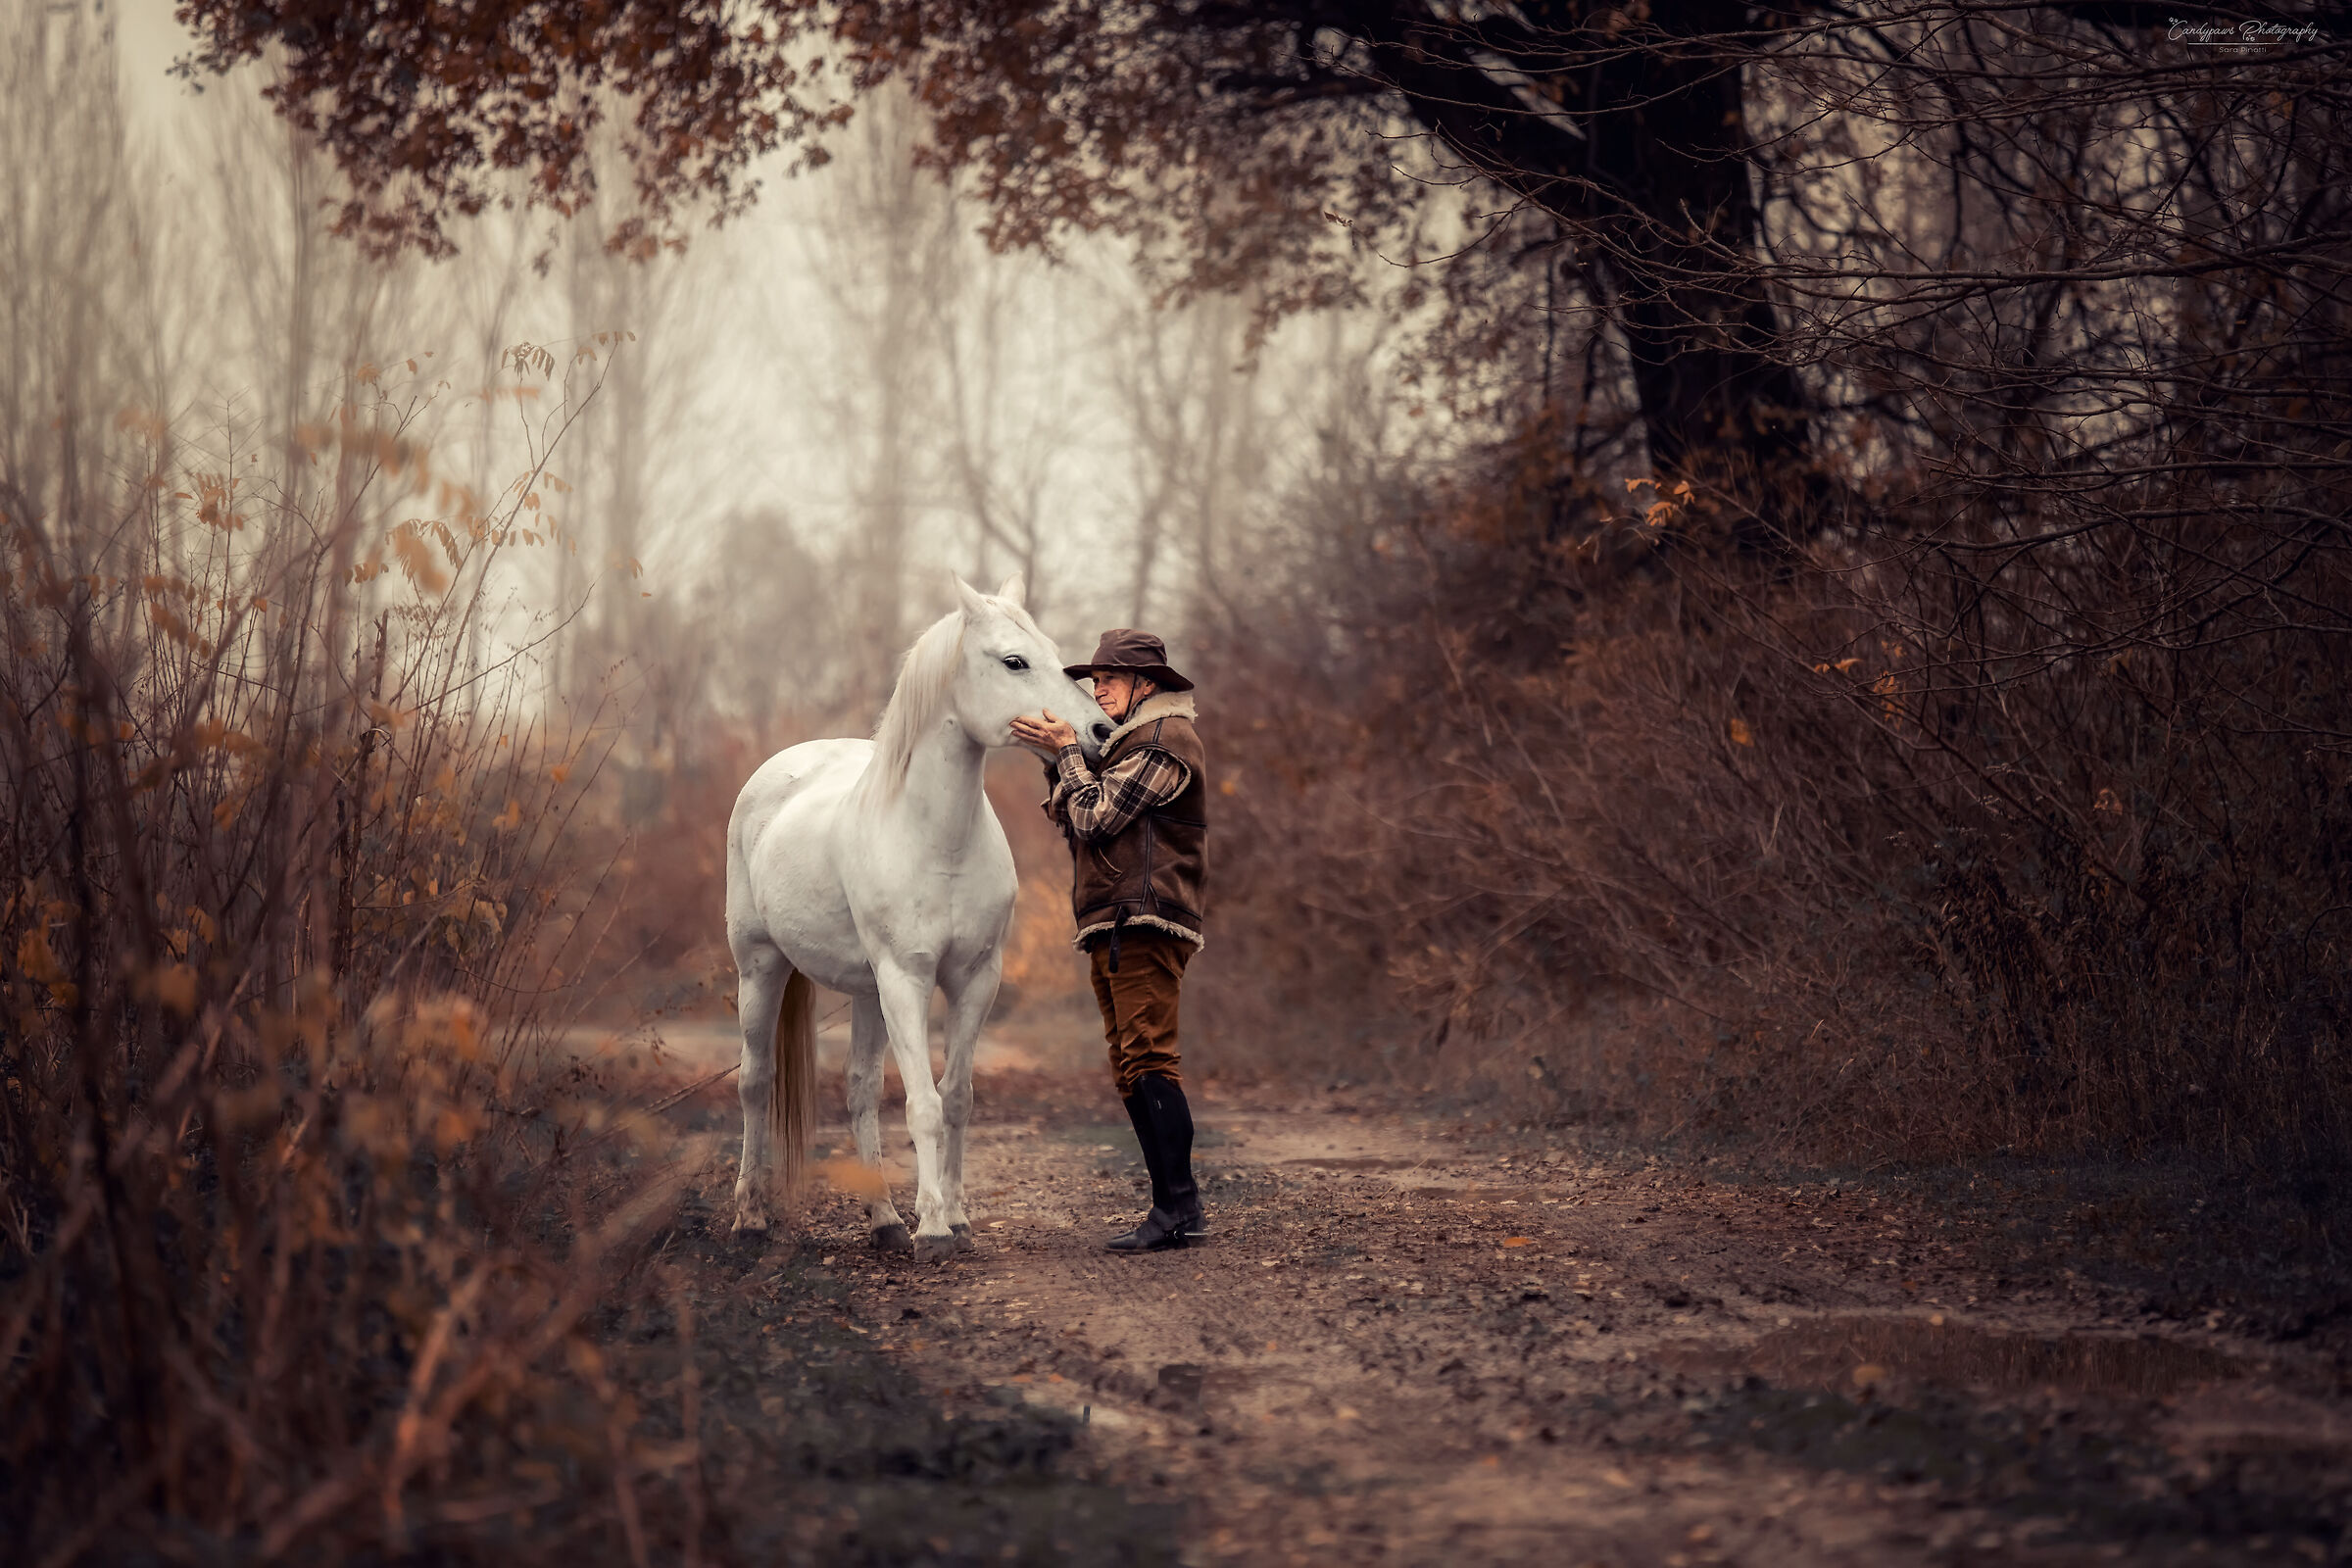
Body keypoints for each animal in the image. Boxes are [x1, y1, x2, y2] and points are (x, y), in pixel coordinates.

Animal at [724, 575, 1113, 1260]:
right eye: (1014, 660)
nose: (1100, 731)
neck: (938, 840)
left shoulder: (975, 980)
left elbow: (955, 1098)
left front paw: (955, 1217)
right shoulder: (907, 979)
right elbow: (923, 1105)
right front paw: (932, 1229)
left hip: (866, 992)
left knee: (858, 1091)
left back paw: (883, 1220)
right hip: (761, 966)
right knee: (755, 1081)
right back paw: (750, 1216)